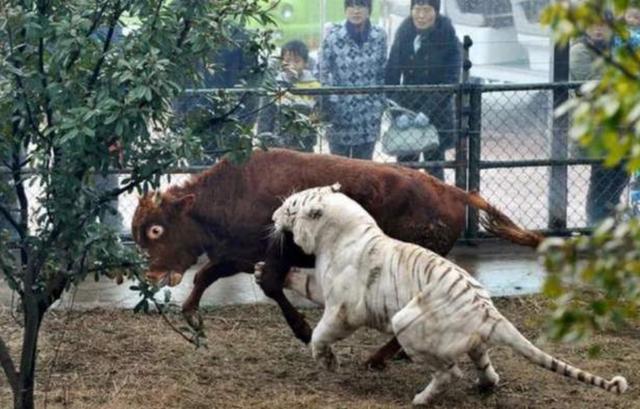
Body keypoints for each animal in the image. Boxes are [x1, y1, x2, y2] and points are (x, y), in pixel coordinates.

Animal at [263, 183, 628, 406]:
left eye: (291, 208)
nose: (272, 216)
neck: (333, 234)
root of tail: (488, 310)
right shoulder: (324, 286)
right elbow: (305, 283)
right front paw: (262, 269)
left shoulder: (343, 308)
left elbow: (321, 333)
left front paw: (328, 361)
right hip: (472, 340)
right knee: (484, 364)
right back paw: (486, 385)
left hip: (406, 322)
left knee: (450, 372)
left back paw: (421, 399)